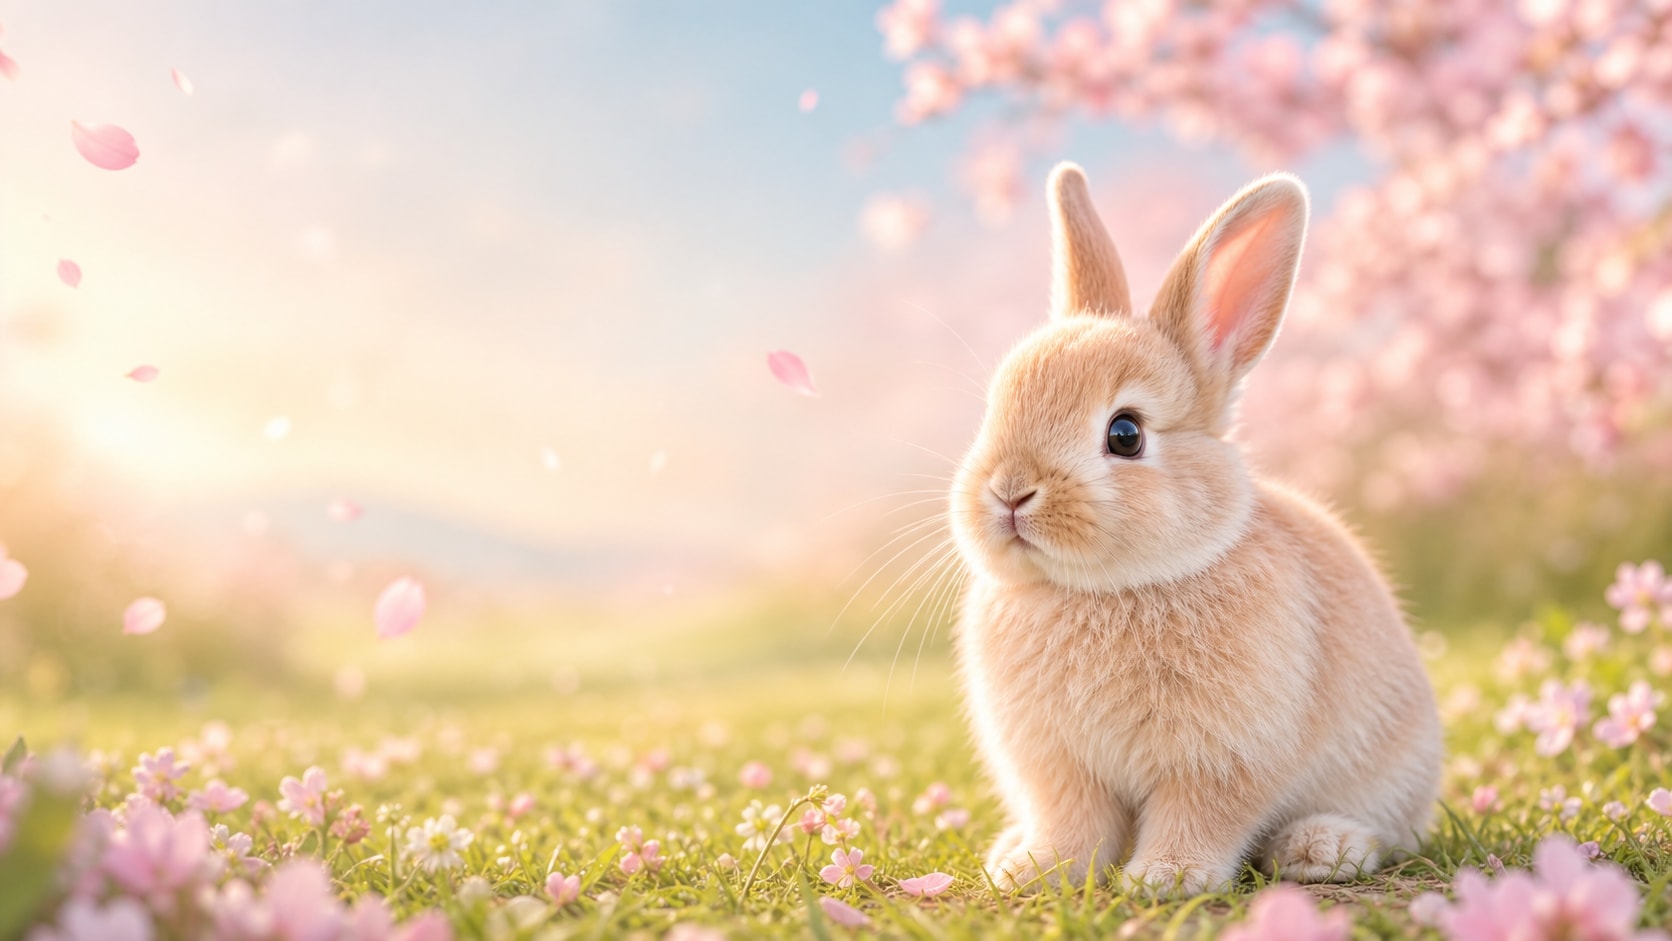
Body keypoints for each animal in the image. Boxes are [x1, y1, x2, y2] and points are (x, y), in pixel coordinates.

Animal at [948, 163, 1443, 897]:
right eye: (993, 410)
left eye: (1125, 433)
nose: (1009, 491)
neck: (1104, 590)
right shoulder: (1060, 767)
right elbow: (1070, 823)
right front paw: (1034, 871)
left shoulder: (1221, 757)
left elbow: (1200, 814)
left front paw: (1165, 878)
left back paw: (1321, 847)